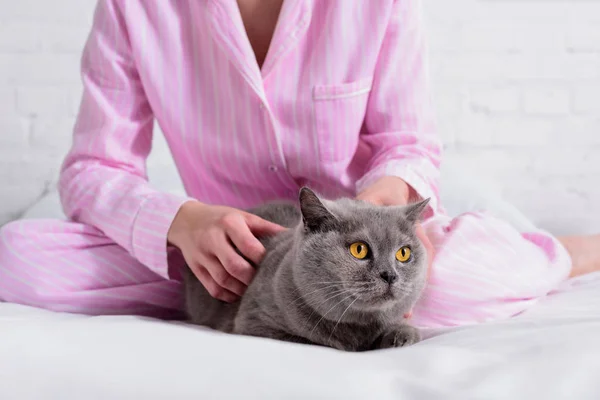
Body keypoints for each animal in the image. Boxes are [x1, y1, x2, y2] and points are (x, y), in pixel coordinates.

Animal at [180, 188, 428, 350]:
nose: (390, 275)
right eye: (359, 249)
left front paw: (400, 336)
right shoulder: (254, 323)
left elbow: (406, 330)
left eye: (403, 253)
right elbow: (314, 341)